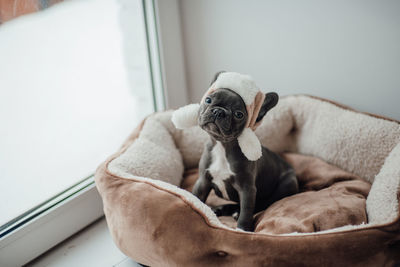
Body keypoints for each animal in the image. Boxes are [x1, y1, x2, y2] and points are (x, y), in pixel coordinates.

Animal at [192, 72, 298, 231]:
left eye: (239, 114)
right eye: (208, 100)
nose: (218, 111)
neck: (223, 146)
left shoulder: (247, 189)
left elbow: (246, 210)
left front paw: (242, 229)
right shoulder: (203, 181)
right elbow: (197, 198)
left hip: (287, 184)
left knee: (263, 203)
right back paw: (221, 209)